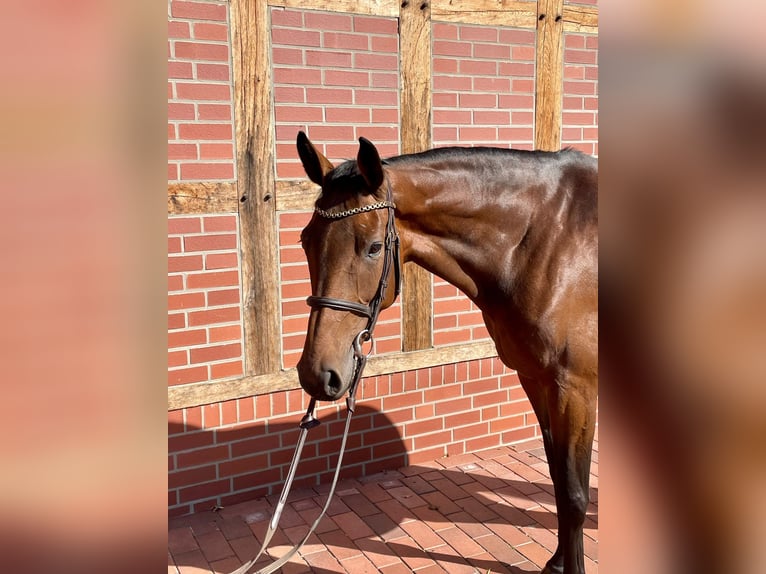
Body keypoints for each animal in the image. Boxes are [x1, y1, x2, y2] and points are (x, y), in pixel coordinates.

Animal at [295, 131, 598, 574]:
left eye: (373, 247)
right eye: (305, 240)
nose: (317, 374)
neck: (550, 242)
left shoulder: (576, 389)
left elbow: (574, 494)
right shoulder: (536, 379)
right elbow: (558, 479)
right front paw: (558, 563)